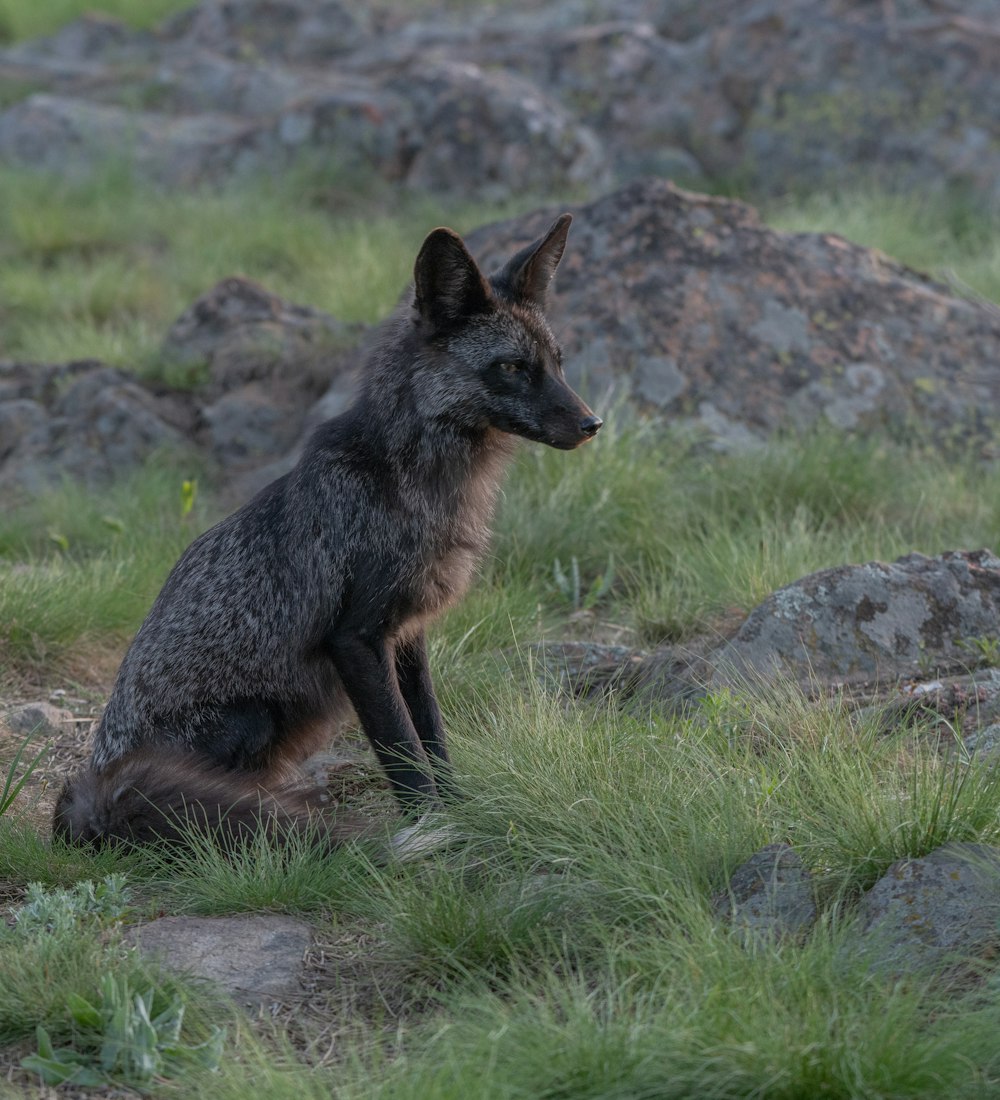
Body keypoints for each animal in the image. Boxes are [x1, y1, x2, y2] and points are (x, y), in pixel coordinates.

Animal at [52, 212, 602, 849]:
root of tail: (90, 791)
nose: (592, 424)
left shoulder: (408, 635)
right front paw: (434, 828)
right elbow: (402, 751)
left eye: (558, 362)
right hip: (252, 718)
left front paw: (462, 813)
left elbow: (433, 739)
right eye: (513, 367)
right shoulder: (356, 638)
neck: (425, 488)